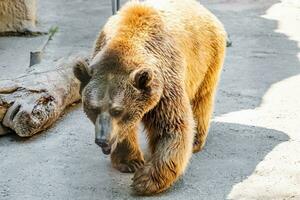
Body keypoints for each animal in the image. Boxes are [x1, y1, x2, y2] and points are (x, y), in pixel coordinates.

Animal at [74, 0, 226, 195]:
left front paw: (144, 180)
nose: (102, 140)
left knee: (202, 99)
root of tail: (201, 8)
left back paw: (196, 141)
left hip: (207, 59)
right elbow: (126, 130)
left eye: (117, 110)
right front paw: (130, 162)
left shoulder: (165, 83)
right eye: (92, 108)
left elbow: (172, 126)